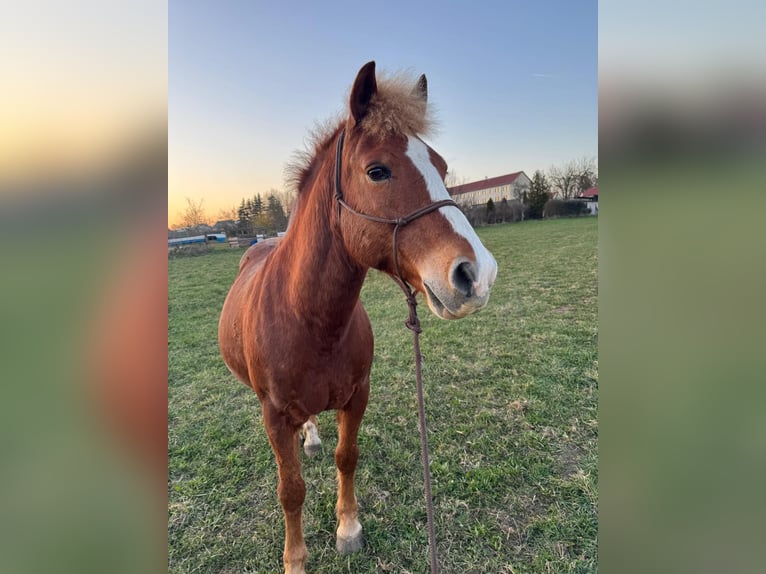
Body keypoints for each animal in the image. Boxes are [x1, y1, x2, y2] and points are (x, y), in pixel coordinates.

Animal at [218, 61, 498, 574]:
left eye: (442, 168)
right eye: (377, 171)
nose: (478, 274)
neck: (310, 324)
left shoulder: (357, 396)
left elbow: (347, 457)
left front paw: (348, 529)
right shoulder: (273, 415)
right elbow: (291, 490)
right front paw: (295, 559)